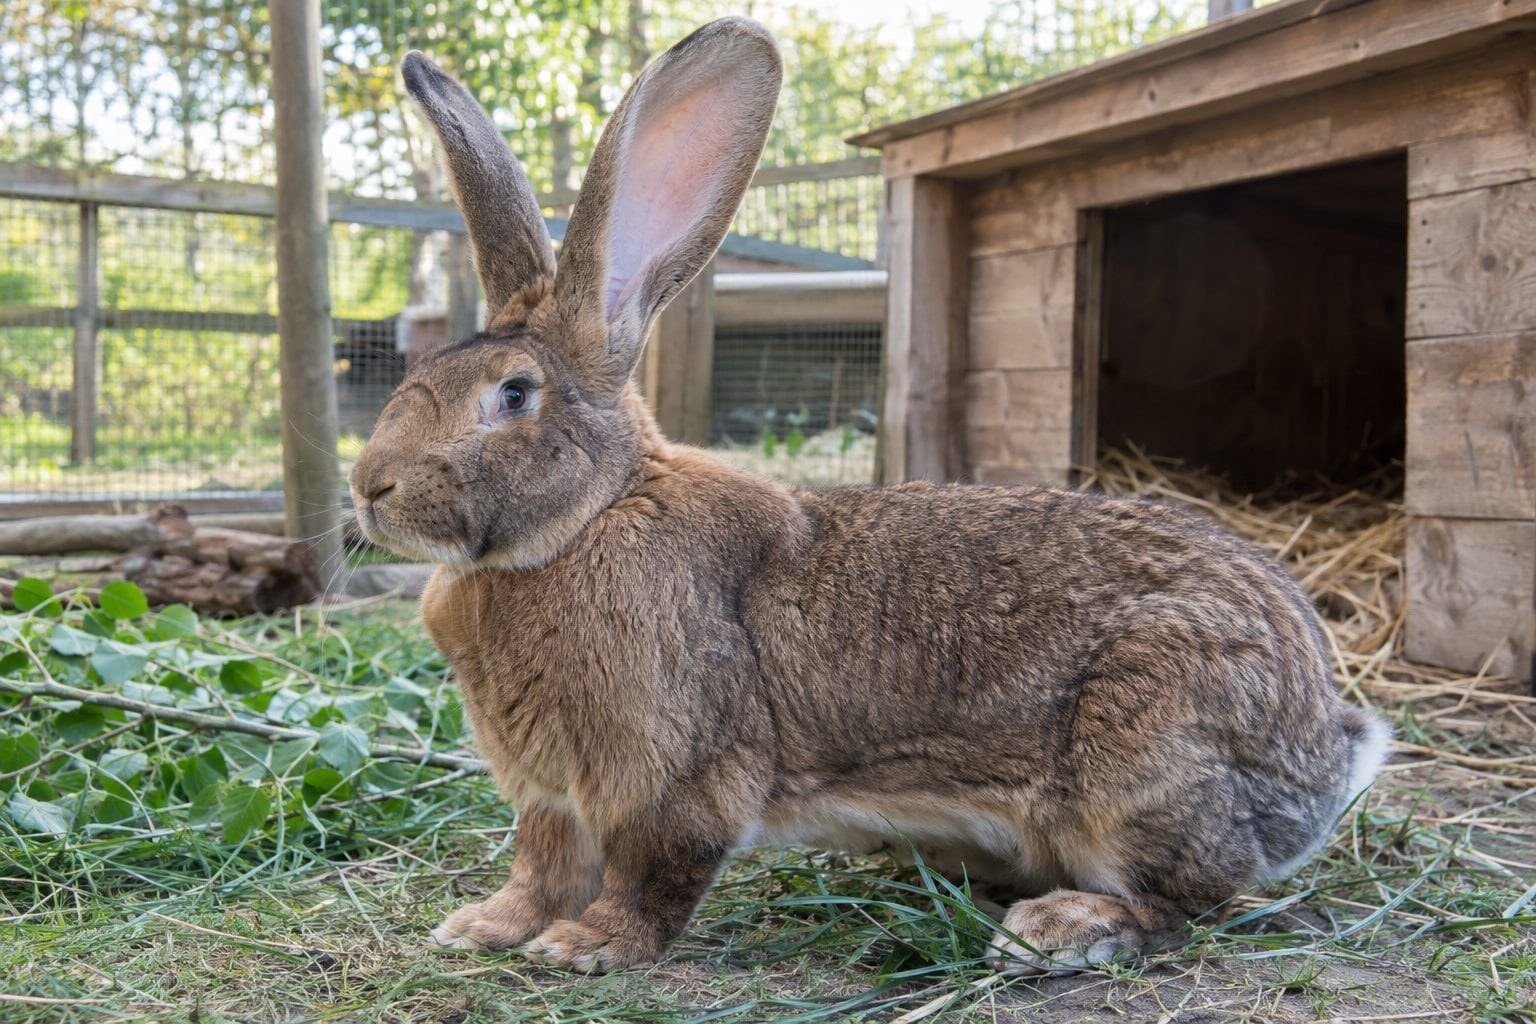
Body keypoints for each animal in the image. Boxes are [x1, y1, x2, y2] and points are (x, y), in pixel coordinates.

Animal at [350, 17, 1392, 975]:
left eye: (514, 395)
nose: (370, 487)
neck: (586, 520)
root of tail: (1327, 748)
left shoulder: (676, 775)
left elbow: (653, 874)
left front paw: (586, 948)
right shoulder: (549, 798)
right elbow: (540, 866)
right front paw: (483, 927)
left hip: (1143, 758)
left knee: (1187, 900)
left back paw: (1058, 928)